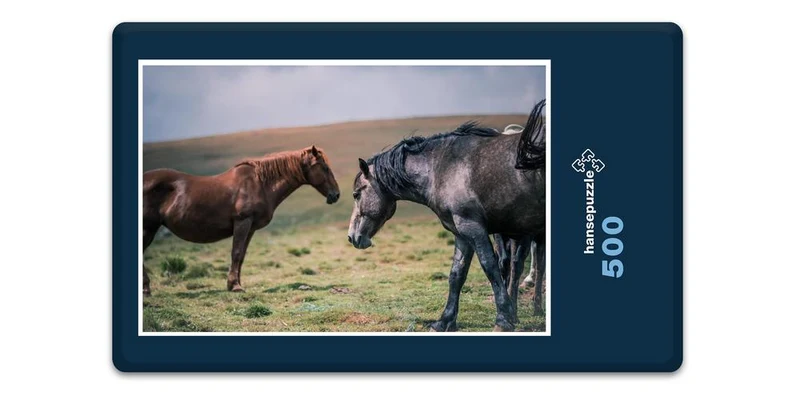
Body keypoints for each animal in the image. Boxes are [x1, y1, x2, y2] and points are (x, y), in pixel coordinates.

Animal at [142, 145, 340, 296]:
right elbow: (236, 253)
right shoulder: (242, 222)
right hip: (148, 228)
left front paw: (235, 283)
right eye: (324, 168)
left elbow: (242, 255)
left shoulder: (250, 228)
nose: (336, 195)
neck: (260, 183)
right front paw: (235, 286)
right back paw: (146, 289)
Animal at [347, 100, 546, 332]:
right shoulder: (462, 233)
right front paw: (444, 320)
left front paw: (503, 319)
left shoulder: (473, 228)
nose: (352, 237)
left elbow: (490, 267)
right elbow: (456, 275)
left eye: (356, 194)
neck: (441, 167)